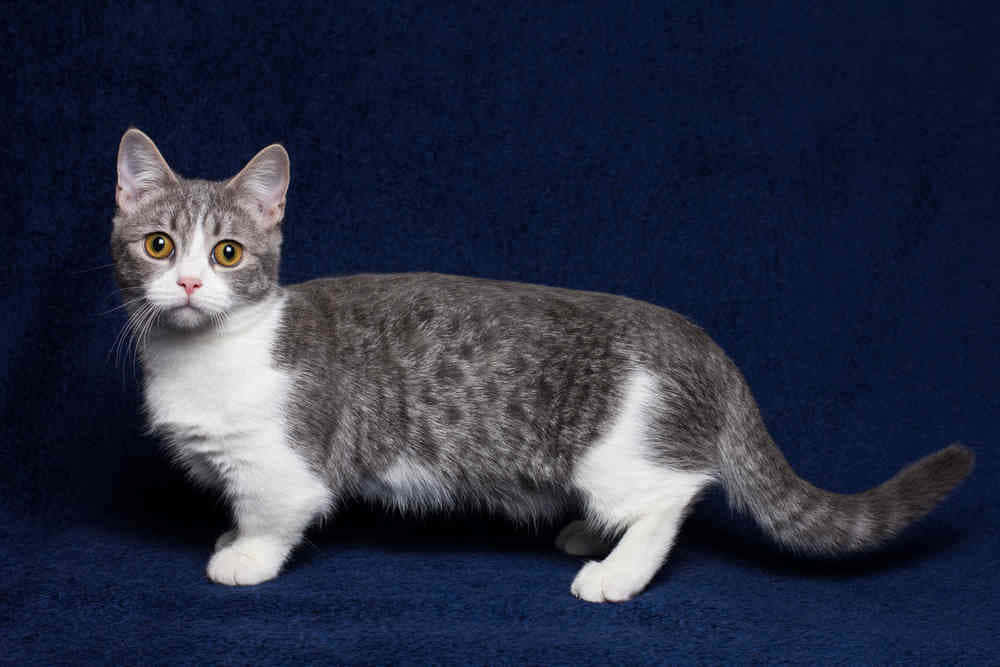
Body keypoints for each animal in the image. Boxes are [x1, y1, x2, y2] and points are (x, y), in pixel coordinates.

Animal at [111, 128, 976, 604]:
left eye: (228, 253)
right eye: (159, 244)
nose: (188, 284)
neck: (202, 354)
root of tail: (696, 339)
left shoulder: (282, 464)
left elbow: (273, 513)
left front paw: (244, 556)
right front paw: (230, 536)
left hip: (616, 450)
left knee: (674, 495)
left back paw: (616, 572)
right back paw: (589, 535)